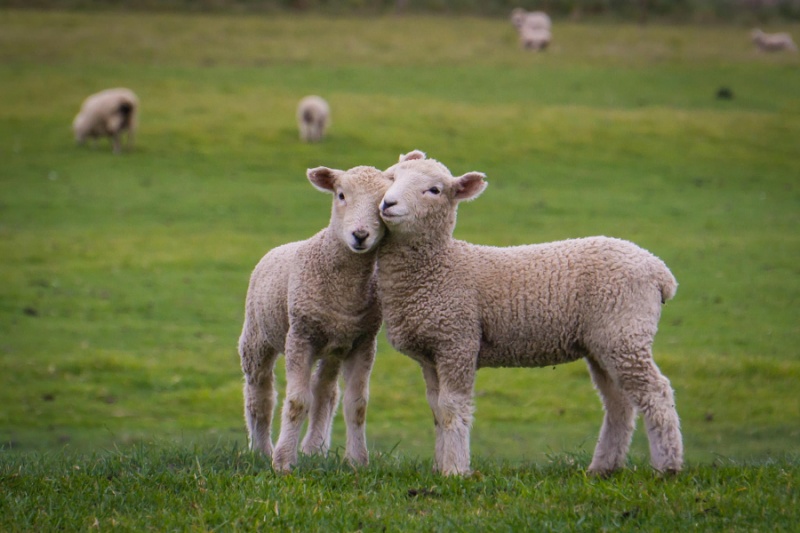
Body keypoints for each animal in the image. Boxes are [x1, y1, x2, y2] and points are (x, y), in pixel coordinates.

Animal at [239, 163, 392, 470]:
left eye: (383, 203)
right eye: (341, 195)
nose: (360, 235)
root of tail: (280, 247)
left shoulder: (363, 342)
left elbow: (357, 405)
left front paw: (357, 461)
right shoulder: (300, 336)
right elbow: (297, 402)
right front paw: (283, 462)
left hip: (333, 347)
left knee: (325, 392)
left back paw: (314, 449)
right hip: (257, 337)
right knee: (260, 393)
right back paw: (261, 449)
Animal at [378, 152, 684, 476]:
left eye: (434, 190)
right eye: (391, 177)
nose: (388, 204)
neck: (441, 265)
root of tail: (659, 271)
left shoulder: (457, 341)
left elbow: (452, 407)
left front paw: (456, 471)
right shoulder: (431, 353)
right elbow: (437, 409)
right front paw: (441, 467)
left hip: (624, 330)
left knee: (656, 393)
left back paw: (667, 466)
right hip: (604, 342)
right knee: (618, 403)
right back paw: (603, 468)